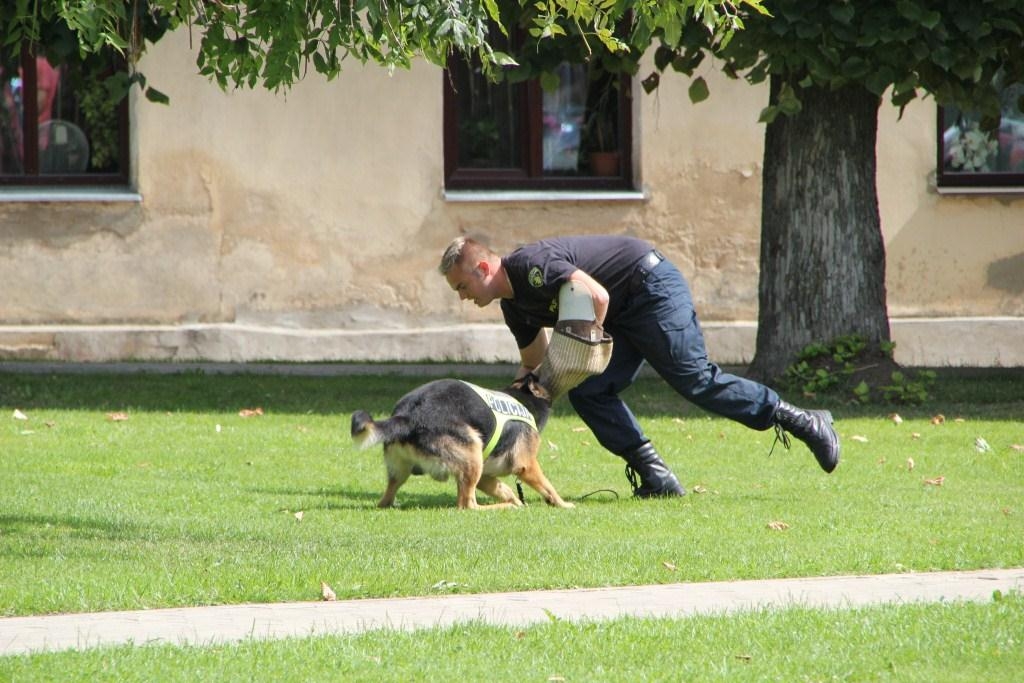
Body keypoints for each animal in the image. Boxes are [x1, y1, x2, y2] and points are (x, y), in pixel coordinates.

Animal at [352, 374, 577, 507]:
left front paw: (513, 498)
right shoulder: (527, 465)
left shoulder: (486, 476)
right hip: (472, 452)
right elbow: (548, 486)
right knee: (468, 505)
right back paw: (501, 507)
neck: (521, 398)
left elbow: (501, 487)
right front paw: (562, 504)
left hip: (400, 470)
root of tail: (407, 416)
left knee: (386, 499)